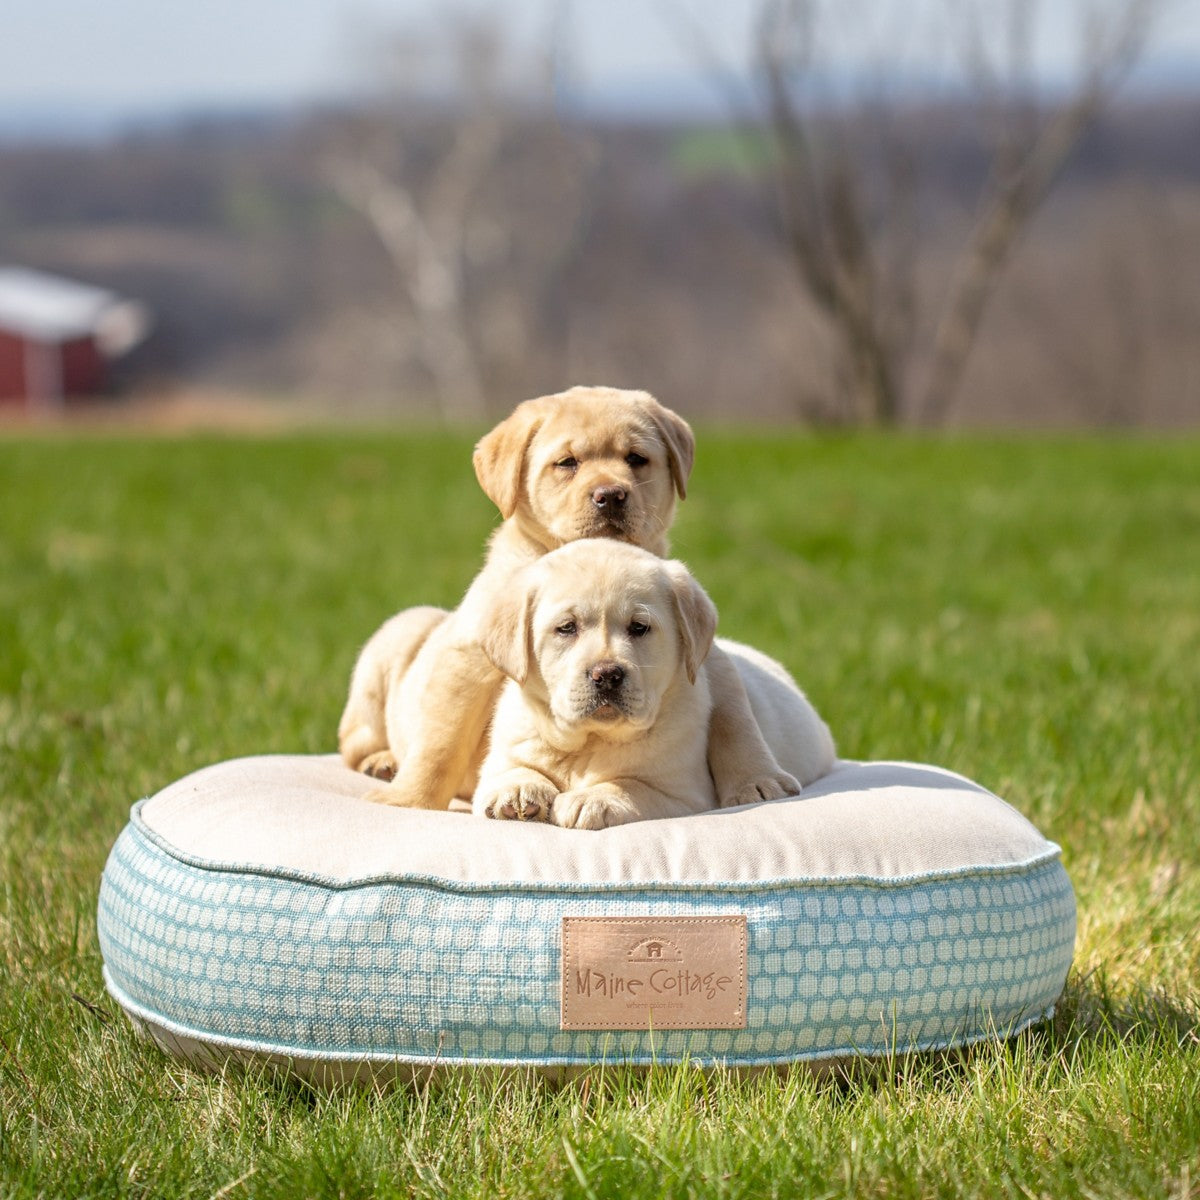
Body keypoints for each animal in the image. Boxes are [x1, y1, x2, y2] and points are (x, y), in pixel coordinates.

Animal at [340, 388, 806, 811]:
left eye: (635, 459)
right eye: (567, 463)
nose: (611, 494)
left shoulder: (706, 657)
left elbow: (734, 717)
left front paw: (757, 780)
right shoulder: (466, 659)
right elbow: (440, 740)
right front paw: (409, 799)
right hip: (401, 632)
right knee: (353, 742)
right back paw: (382, 762)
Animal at [472, 542, 840, 830]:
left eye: (639, 627)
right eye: (566, 628)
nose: (607, 675)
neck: (591, 742)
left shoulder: (682, 795)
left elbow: (631, 786)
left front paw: (593, 799)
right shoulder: (497, 766)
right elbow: (512, 770)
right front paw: (519, 790)